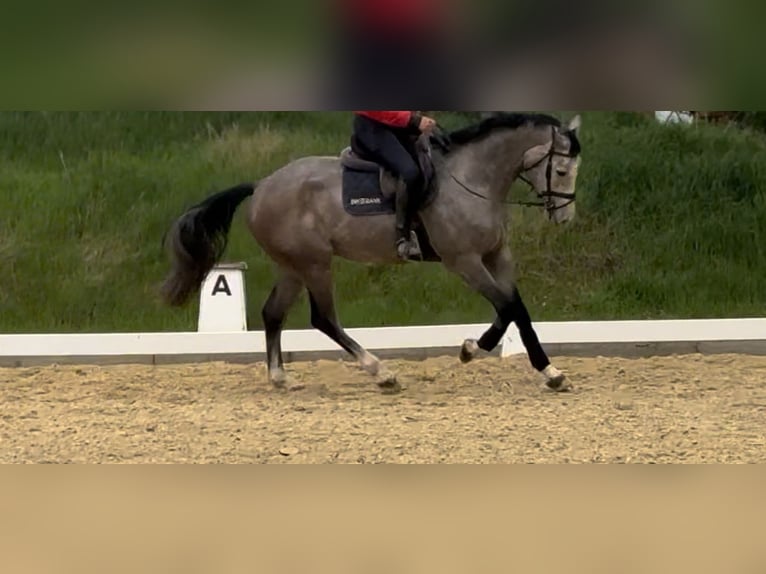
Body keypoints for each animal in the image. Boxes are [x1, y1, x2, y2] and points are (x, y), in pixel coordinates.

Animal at [160, 112, 583, 394]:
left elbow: (516, 309)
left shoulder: (497, 255)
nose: (565, 218)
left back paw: (280, 377)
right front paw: (475, 351)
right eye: (561, 170)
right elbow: (507, 307)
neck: (473, 179)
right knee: (323, 318)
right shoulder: (463, 261)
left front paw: (544, 370)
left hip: (293, 266)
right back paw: (381, 372)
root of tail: (262, 184)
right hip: (315, 263)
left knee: (273, 313)